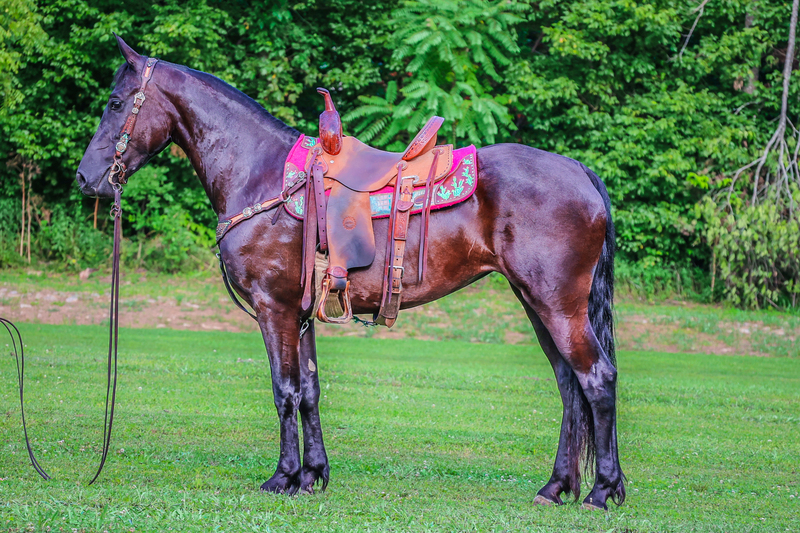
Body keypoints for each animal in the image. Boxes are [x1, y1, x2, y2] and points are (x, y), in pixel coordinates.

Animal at [75, 35, 624, 510]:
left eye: (116, 103)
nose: (86, 178)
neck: (262, 176)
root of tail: (578, 170)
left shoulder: (273, 310)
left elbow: (285, 391)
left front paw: (283, 477)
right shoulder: (301, 315)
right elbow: (310, 391)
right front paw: (313, 474)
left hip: (558, 306)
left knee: (596, 379)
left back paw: (601, 492)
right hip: (538, 305)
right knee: (568, 385)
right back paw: (557, 486)